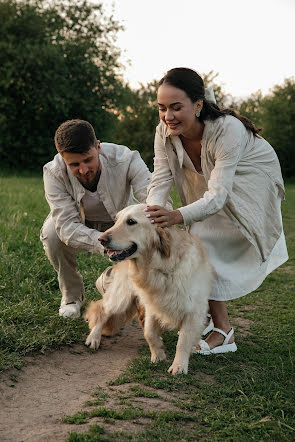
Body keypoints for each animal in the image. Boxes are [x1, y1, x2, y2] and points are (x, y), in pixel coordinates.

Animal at [85, 205, 215, 374]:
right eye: (116, 220)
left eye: (131, 221)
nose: (101, 240)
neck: (159, 268)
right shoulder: (152, 305)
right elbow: (149, 333)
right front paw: (158, 354)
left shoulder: (193, 310)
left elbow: (183, 340)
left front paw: (178, 365)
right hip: (121, 296)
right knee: (102, 311)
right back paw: (93, 338)